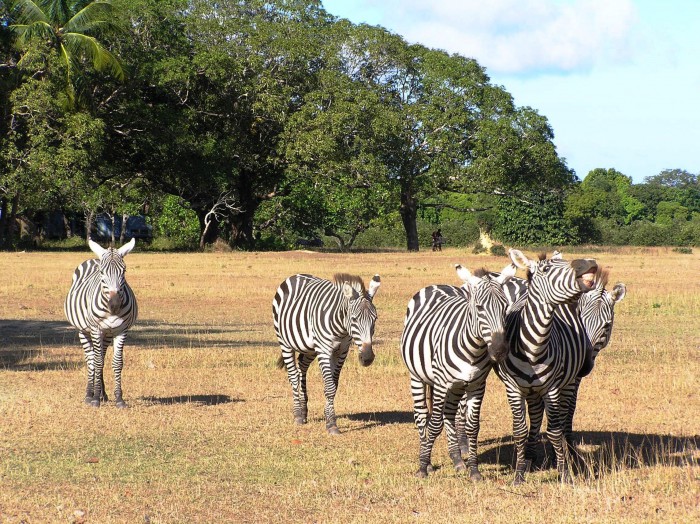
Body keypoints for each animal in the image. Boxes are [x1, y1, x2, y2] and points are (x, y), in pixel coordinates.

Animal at [64, 238, 139, 408]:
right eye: (102, 273)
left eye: (124, 271)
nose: (114, 304)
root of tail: (94, 259)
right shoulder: (96, 329)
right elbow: (97, 362)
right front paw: (95, 399)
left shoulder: (121, 331)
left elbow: (117, 363)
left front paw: (119, 398)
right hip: (84, 331)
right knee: (91, 359)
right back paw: (89, 394)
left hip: (107, 334)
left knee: (101, 357)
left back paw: (103, 393)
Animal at [272, 273, 381, 434]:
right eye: (354, 319)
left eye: (375, 318)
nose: (367, 358)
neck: (341, 327)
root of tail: (295, 275)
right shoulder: (324, 350)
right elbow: (329, 388)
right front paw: (332, 424)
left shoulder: (342, 352)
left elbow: (334, 386)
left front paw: (328, 417)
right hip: (285, 342)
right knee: (293, 376)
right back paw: (298, 415)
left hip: (310, 348)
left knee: (301, 369)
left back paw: (303, 411)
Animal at [401, 261, 517, 479]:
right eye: (479, 307)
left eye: (505, 307)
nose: (500, 351)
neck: (473, 349)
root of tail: (436, 285)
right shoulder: (440, 384)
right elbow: (434, 424)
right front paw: (423, 467)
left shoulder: (477, 385)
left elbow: (472, 427)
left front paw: (474, 471)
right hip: (418, 377)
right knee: (421, 417)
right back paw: (427, 460)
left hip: (456, 387)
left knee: (449, 414)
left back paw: (457, 460)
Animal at [494, 249, 598, 484]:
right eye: (547, 269)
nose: (590, 262)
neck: (533, 347)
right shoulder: (513, 388)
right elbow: (520, 431)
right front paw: (519, 474)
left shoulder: (551, 388)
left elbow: (554, 431)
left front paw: (564, 473)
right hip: (532, 391)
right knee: (534, 419)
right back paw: (530, 458)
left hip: (568, 382)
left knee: (565, 417)